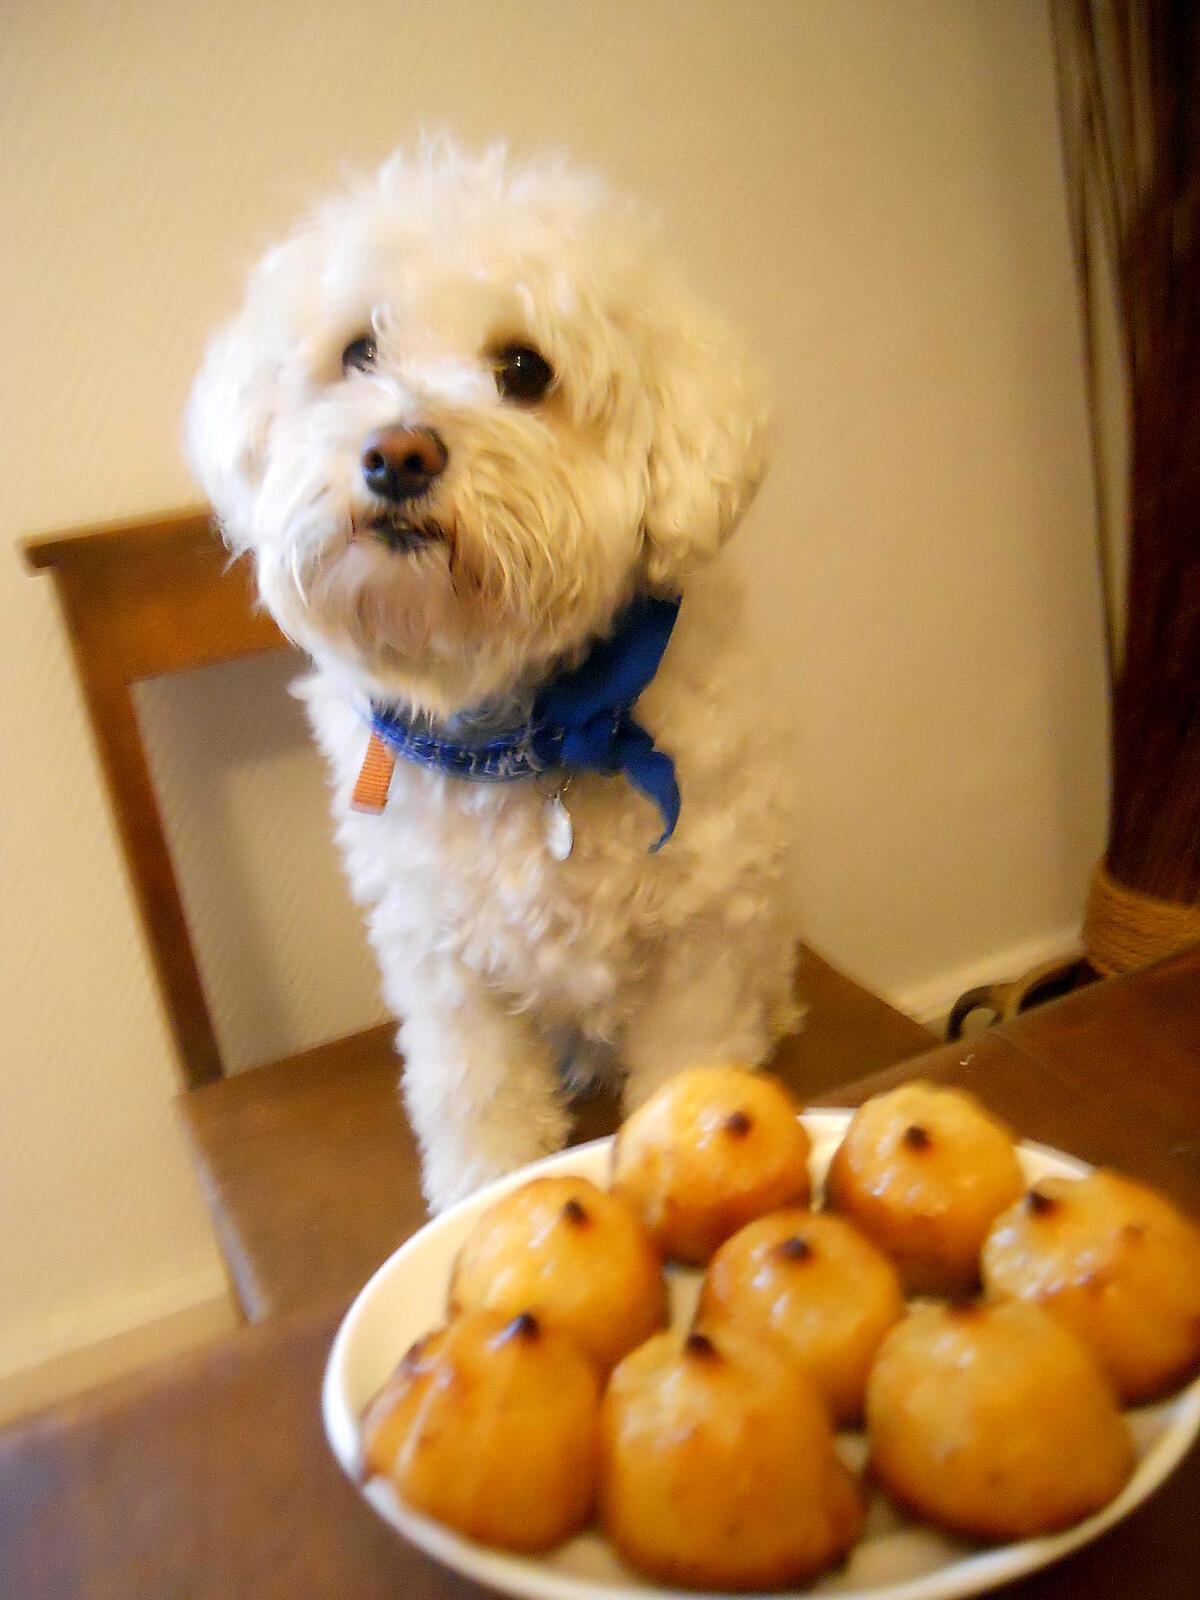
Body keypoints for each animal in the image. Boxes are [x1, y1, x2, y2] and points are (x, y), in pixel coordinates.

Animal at [188, 140, 803, 1209]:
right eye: (358, 353)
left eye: (524, 368)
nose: (397, 454)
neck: (530, 729)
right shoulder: (447, 969)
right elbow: (476, 1103)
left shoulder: (700, 948)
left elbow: (689, 1072)